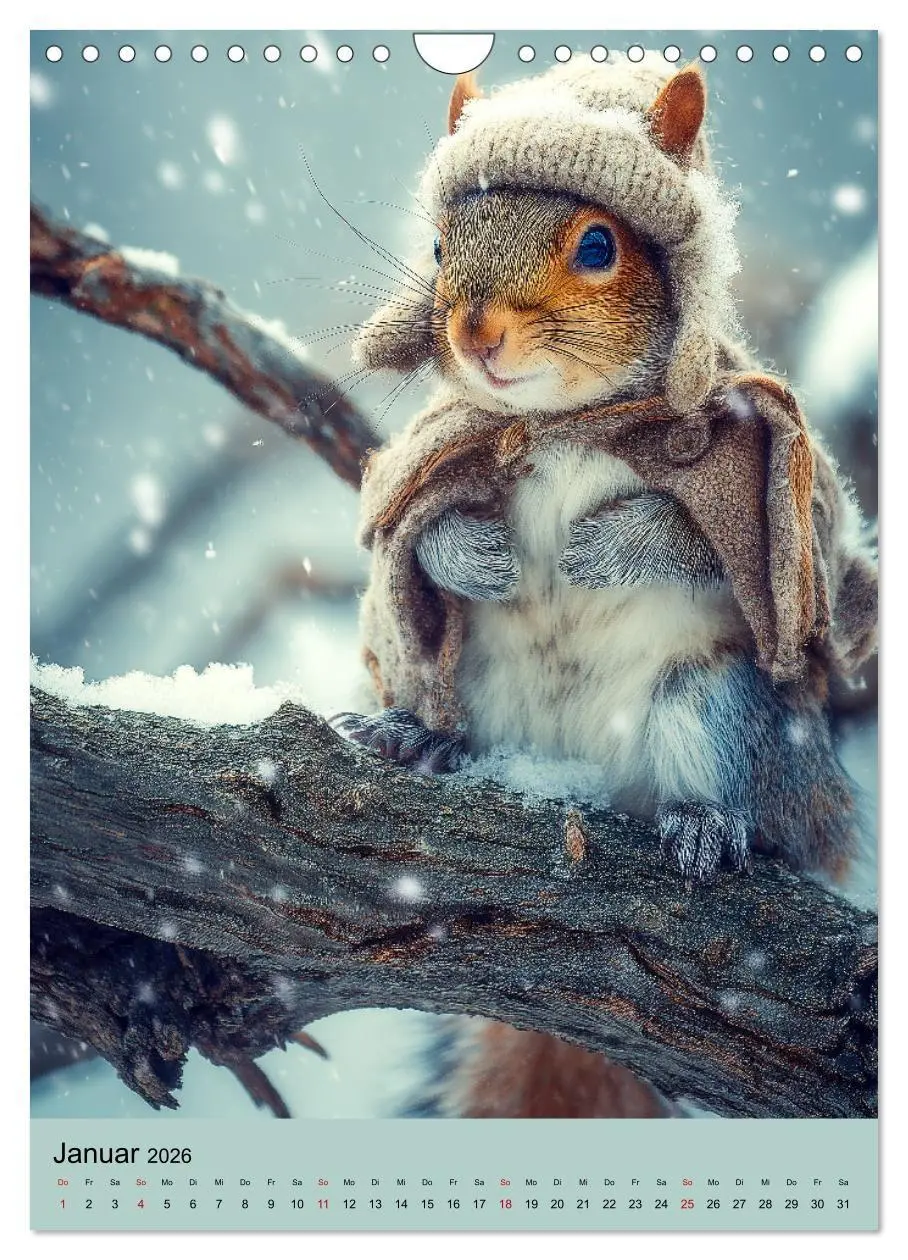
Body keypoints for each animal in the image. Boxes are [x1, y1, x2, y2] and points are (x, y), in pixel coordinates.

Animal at [332, 59, 878, 1117]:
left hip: (718, 708)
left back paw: (707, 824)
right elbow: (421, 535)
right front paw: (475, 553)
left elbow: (708, 546)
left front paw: (607, 545)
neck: (561, 422)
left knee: (728, 768)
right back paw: (417, 738)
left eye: (597, 244)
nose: (475, 329)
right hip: (477, 686)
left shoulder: (752, 481)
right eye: (438, 245)